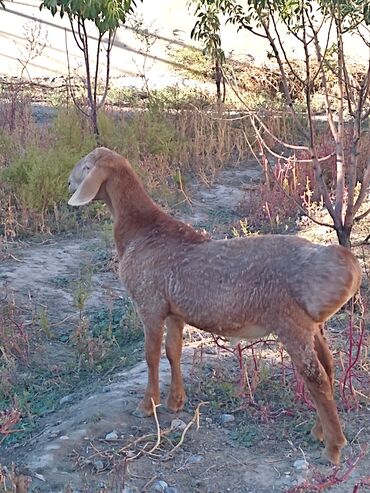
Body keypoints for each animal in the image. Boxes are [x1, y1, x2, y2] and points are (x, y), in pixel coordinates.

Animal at [67, 148, 362, 464]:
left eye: (86, 167)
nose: (69, 184)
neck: (142, 229)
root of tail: (340, 264)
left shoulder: (149, 304)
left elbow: (151, 356)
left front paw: (147, 405)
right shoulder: (174, 312)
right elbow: (173, 351)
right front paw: (175, 401)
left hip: (291, 324)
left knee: (314, 377)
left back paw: (333, 446)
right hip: (312, 326)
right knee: (328, 368)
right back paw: (319, 431)